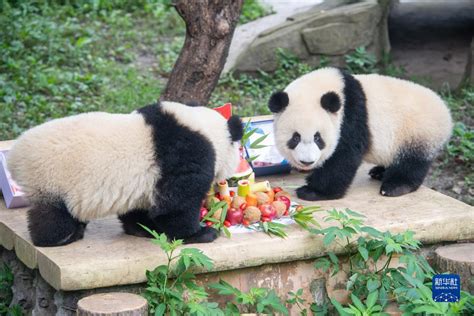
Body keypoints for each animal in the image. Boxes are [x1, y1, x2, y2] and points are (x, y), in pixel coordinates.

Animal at [7, 101, 244, 247]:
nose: (227, 179)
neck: (204, 128)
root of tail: (14, 157)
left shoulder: (144, 182)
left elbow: (140, 207)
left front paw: (143, 228)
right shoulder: (184, 155)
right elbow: (176, 205)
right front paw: (200, 233)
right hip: (50, 177)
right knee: (52, 215)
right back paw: (62, 237)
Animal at [270, 67, 452, 200]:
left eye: (318, 138)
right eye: (295, 137)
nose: (307, 162)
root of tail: (446, 113)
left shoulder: (351, 116)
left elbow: (344, 156)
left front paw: (313, 191)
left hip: (417, 132)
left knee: (411, 162)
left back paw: (396, 186)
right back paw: (379, 172)